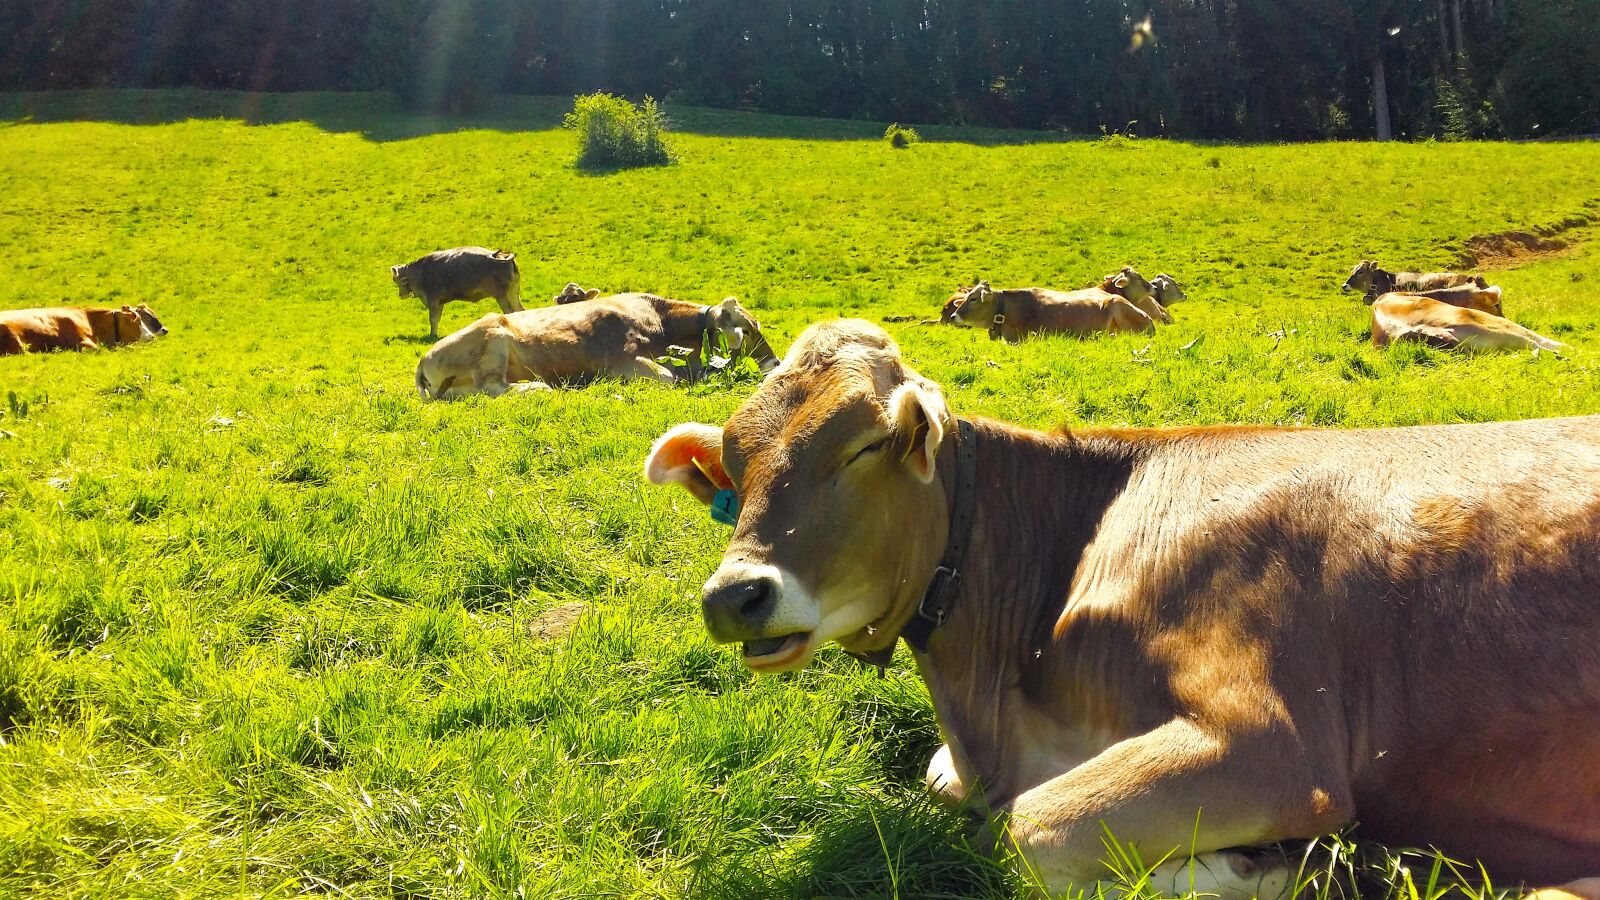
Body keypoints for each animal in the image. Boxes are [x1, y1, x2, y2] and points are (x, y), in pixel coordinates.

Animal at [390, 247, 524, 339]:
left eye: (395, 279)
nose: (400, 294)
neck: (418, 273)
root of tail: (502, 256)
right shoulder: (439, 302)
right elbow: (437, 319)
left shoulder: (433, 299)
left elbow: (432, 319)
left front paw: (432, 335)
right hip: (513, 292)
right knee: (520, 310)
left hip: (501, 295)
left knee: (510, 312)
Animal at [415, 293, 779, 400]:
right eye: (748, 331)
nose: (775, 363)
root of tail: (423, 360)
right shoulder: (626, 362)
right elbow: (667, 378)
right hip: (494, 340)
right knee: (492, 387)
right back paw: (538, 387)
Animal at [644, 318, 1600, 899]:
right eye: (732, 469)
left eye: (869, 443)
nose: (734, 596)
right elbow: (951, 781)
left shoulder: (1275, 740)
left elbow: (1029, 834)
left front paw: (1263, 867)